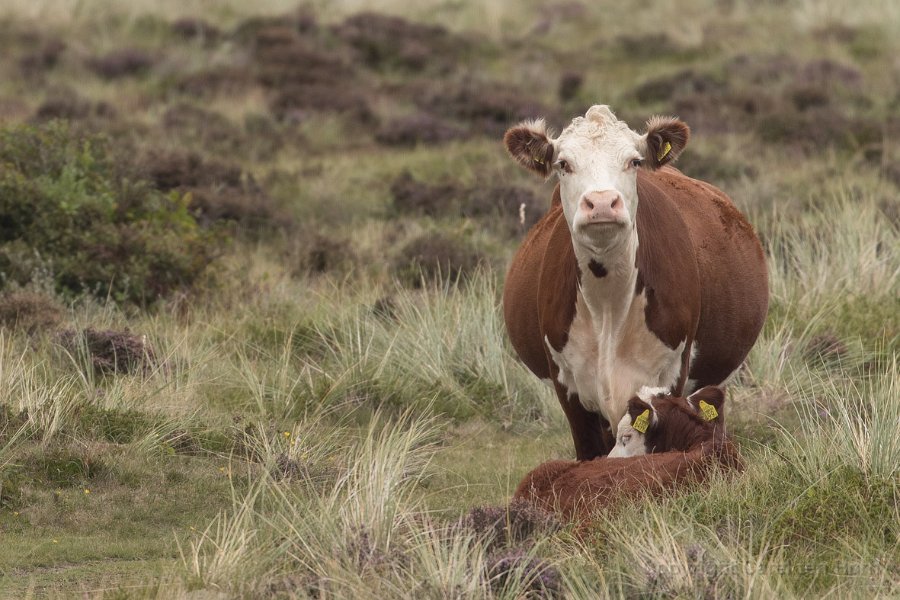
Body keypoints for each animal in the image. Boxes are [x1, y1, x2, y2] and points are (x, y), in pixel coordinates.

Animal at [500, 105, 768, 460]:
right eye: (564, 163)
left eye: (634, 161)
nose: (602, 202)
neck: (608, 304)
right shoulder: (568, 388)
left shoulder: (670, 376)